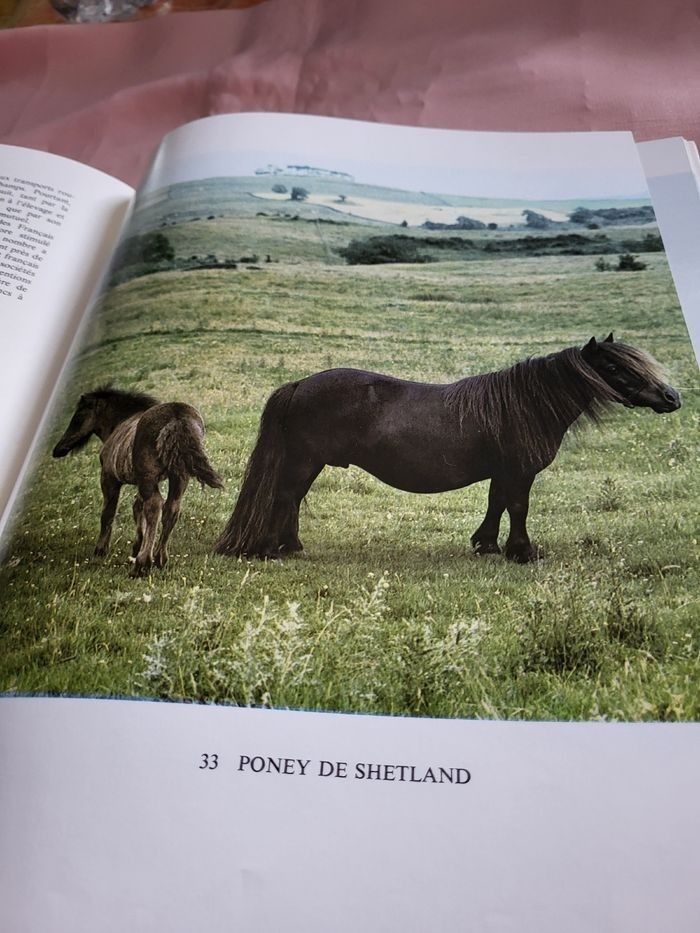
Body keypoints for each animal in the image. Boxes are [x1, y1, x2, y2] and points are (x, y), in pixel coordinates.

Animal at [53, 387, 223, 576]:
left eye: (79, 414)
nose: (58, 449)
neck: (119, 424)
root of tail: (177, 416)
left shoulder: (109, 478)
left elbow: (108, 513)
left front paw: (101, 550)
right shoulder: (141, 483)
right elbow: (137, 508)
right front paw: (136, 547)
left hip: (148, 478)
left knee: (154, 506)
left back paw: (142, 564)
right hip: (179, 476)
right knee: (171, 508)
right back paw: (160, 558)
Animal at [214, 334, 680, 563]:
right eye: (615, 366)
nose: (672, 397)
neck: (526, 404)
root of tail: (299, 384)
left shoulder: (503, 471)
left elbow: (496, 503)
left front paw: (486, 545)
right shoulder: (520, 472)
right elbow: (518, 508)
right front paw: (523, 552)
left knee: (292, 499)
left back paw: (289, 545)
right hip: (304, 461)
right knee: (285, 497)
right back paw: (270, 550)